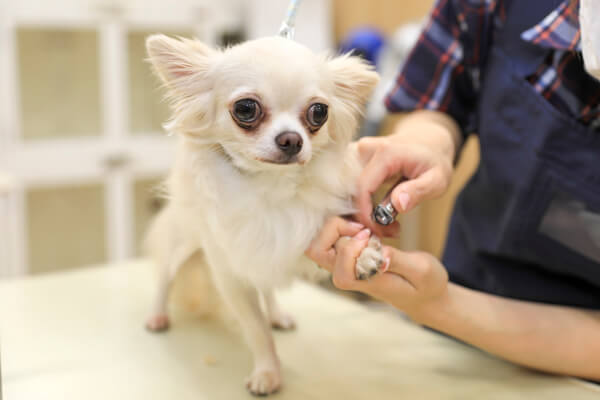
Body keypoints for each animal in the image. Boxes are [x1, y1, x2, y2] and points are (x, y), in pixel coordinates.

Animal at [143, 35, 382, 396]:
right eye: (246, 108)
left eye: (319, 112)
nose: (292, 139)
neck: (271, 185)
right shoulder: (231, 272)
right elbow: (256, 329)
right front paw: (268, 373)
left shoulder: (299, 230)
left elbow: (333, 233)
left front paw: (362, 253)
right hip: (182, 239)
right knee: (164, 275)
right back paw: (157, 316)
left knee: (266, 287)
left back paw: (277, 314)